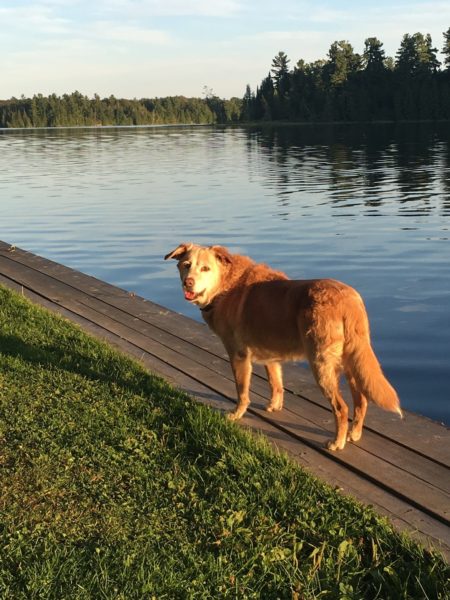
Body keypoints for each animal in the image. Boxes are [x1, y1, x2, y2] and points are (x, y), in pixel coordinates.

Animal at [164, 244, 400, 450]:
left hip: (322, 366)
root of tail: (349, 300)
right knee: (361, 401)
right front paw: (274, 406)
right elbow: (275, 383)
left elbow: (242, 391)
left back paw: (337, 442)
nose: (188, 283)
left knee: (342, 408)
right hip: (352, 363)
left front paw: (237, 414)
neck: (226, 284)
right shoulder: (270, 355)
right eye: (186, 265)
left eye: (205, 268)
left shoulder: (238, 356)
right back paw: (354, 433)